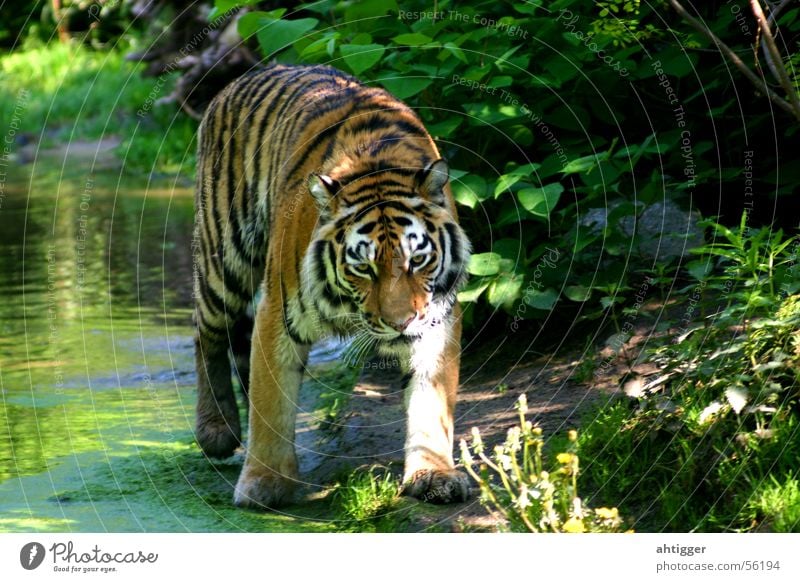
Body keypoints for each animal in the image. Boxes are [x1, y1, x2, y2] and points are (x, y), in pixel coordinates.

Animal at [191, 65, 472, 512]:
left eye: (417, 260)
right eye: (363, 267)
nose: (401, 323)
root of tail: (240, 79)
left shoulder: (438, 318)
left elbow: (432, 400)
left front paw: (434, 476)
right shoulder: (277, 314)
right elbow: (271, 402)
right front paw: (264, 483)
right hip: (224, 255)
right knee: (206, 333)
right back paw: (216, 430)